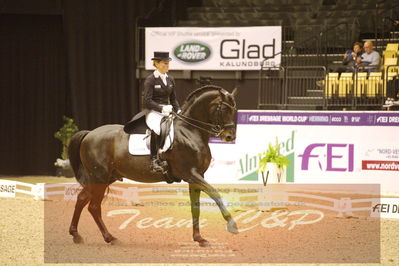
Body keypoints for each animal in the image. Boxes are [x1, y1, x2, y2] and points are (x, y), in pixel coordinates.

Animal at [67, 85, 239, 247]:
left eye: (235, 109)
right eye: (224, 109)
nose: (230, 137)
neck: (190, 131)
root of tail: (89, 133)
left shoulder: (196, 177)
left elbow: (195, 207)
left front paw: (199, 239)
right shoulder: (190, 174)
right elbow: (215, 193)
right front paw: (232, 224)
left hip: (105, 177)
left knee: (82, 199)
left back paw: (76, 234)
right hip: (99, 177)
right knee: (94, 206)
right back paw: (110, 238)